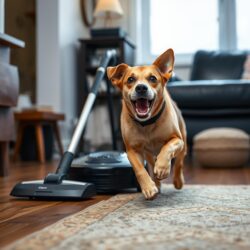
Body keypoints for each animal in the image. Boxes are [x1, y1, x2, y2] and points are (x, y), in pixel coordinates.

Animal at [106, 48, 187, 199]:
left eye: (153, 78)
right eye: (130, 79)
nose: (141, 88)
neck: (147, 124)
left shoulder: (177, 140)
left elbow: (168, 147)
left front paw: (162, 167)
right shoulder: (132, 150)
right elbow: (139, 169)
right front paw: (148, 187)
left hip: (183, 144)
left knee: (179, 162)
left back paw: (177, 180)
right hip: (149, 154)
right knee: (151, 163)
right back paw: (157, 183)